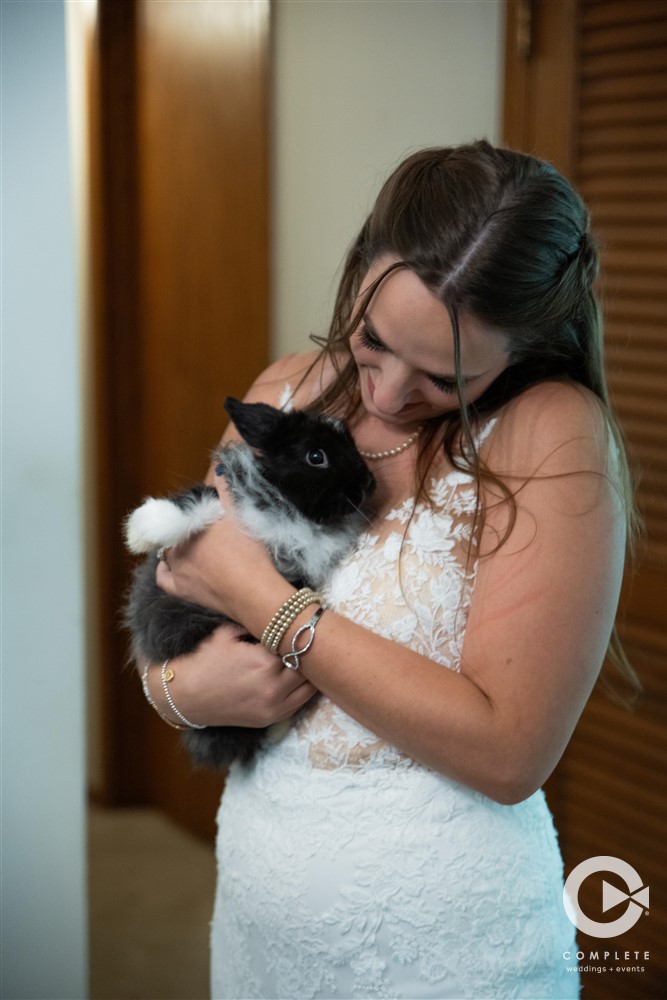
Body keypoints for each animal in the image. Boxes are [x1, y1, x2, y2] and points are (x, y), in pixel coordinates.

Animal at [124, 394, 376, 768]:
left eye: (354, 445)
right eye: (316, 456)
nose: (367, 485)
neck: (290, 509)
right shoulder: (225, 497)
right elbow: (194, 503)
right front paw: (140, 531)